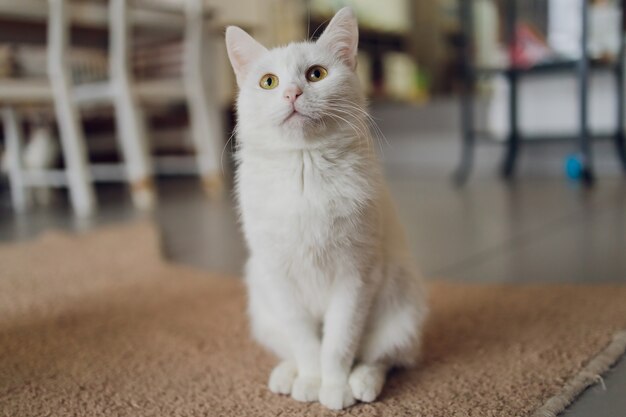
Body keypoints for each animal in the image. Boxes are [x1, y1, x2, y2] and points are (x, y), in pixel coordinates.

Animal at [223, 6, 424, 410]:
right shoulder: (279, 277)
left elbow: (338, 342)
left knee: (383, 356)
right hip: (262, 305)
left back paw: (362, 381)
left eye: (316, 74)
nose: (291, 92)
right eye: (268, 82)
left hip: (401, 307)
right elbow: (304, 340)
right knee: (290, 346)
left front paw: (333, 387)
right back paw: (288, 374)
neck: (305, 168)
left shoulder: (356, 277)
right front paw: (311, 380)